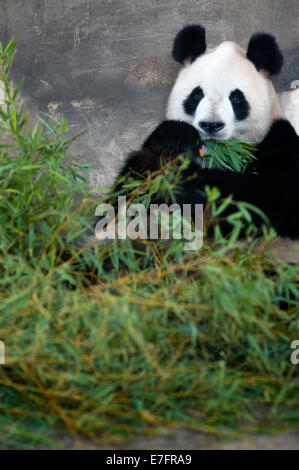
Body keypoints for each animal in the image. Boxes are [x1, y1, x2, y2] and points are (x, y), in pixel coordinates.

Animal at [115, 24, 299, 239]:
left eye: (236, 98)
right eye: (196, 95)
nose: (211, 125)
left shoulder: (278, 140)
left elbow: (259, 200)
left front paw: (179, 178)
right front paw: (174, 142)